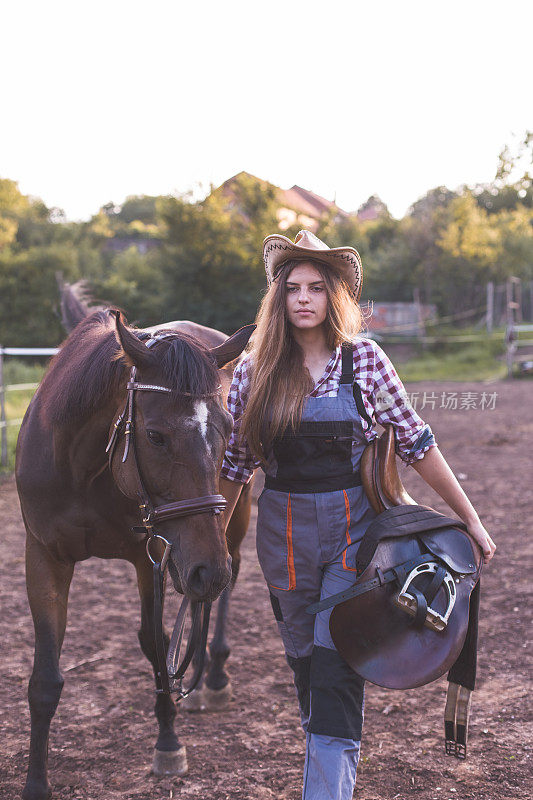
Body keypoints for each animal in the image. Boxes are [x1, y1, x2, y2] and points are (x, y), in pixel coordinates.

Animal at [16, 308, 254, 800]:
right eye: (155, 436)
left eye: (227, 429)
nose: (209, 570)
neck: (83, 467)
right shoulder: (44, 557)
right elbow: (45, 678)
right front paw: (36, 781)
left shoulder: (152, 558)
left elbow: (155, 643)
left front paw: (168, 742)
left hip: (228, 528)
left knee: (229, 580)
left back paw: (214, 676)